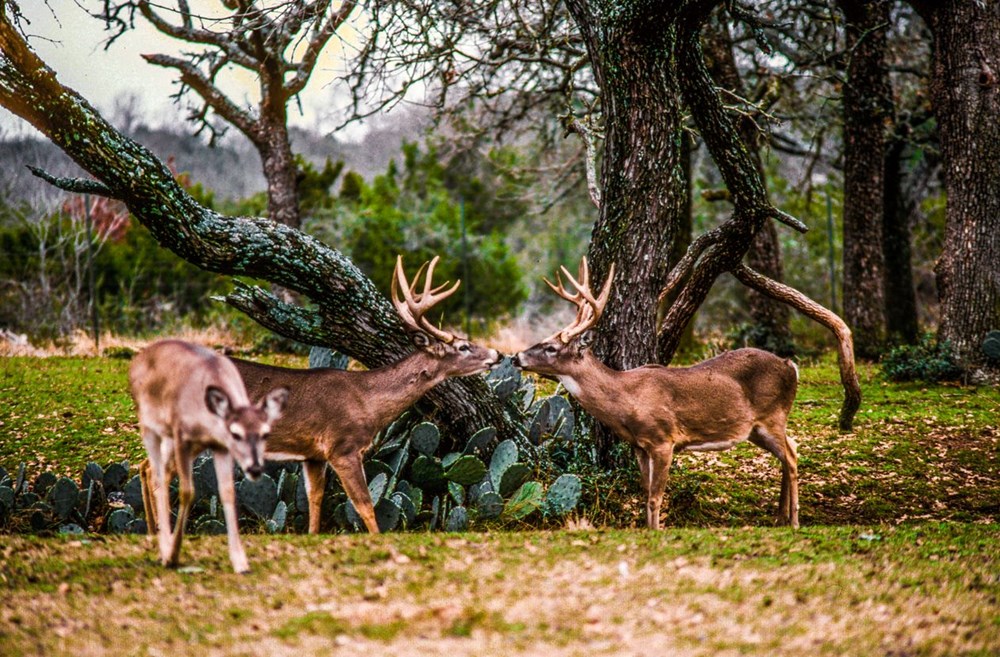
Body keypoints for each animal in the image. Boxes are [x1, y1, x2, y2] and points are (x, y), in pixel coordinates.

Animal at [128, 340, 286, 572]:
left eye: (266, 433)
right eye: (235, 433)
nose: (255, 468)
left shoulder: (218, 446)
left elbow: (228, 493)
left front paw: (240, 561)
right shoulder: (182, 436)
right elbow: (187, 492)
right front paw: (173, 554)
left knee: (151, 470)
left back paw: (154, 532)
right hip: (150, 426)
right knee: (155, 474)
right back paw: (162, 544)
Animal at [141, 254, 500, 536]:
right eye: (463, 346)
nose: (497, 354)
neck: (366, 402)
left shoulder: (313, 454)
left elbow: (315, 499)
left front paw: (313, 535)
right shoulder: (343, 446)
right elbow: (364, 503)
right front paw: (378, 538)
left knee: (147, 466)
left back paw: (153, 530)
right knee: (155, 470)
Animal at [512, 256, 800, 528]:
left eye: (551, 348)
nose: (516, 357)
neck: (627, 400)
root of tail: (791, 366)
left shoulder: (663, 440)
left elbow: (655, 497)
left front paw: (657, 531)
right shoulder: (640, 445)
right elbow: (646, 493)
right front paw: (648, 528)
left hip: (773, 415)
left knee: (792, 457)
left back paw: (794, 520)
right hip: (755, 429)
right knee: (790, 451)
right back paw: (780, 518)